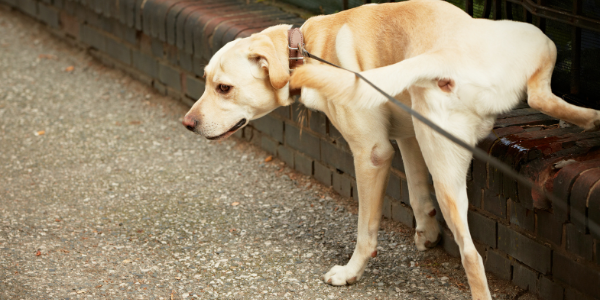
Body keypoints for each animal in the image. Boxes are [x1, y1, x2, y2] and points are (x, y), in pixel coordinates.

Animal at [182, 1, 600, 298]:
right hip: (531, 47)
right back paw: (591, 117)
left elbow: (366, 230)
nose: (187, 123)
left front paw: (351, 272)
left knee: (471, 256)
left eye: (223, 88)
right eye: (205, 80)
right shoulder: (409, 136)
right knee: (542, 97)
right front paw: (427, 232)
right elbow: (416, 193)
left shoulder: (373, 153)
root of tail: (446, 53)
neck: (307, 45)